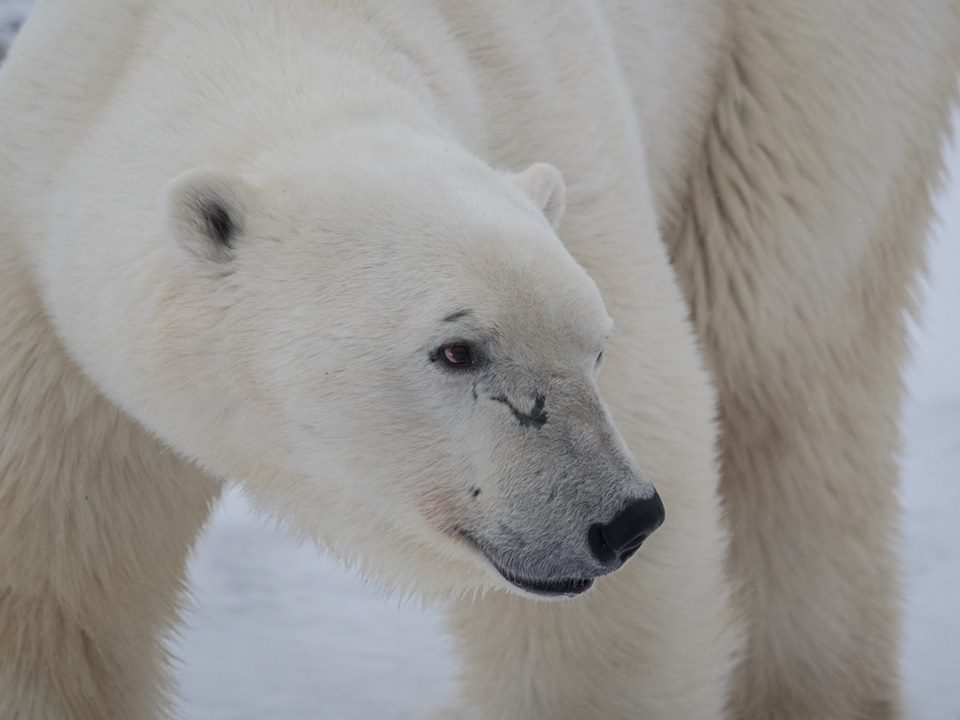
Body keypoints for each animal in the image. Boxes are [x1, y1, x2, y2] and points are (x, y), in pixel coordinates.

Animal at [0, 1, 956, 719]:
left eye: (595, 347)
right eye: (456, 350)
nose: (621, 520)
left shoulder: (544, 127)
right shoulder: (44, 311)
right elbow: (48, 596)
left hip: (793, 70)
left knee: (786, 362)